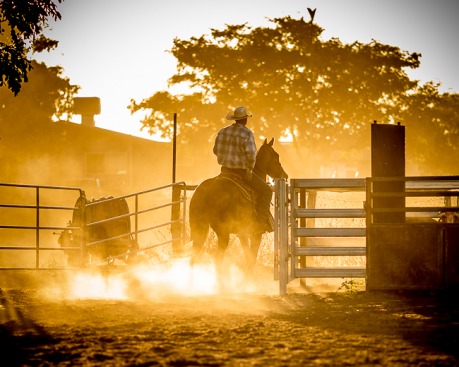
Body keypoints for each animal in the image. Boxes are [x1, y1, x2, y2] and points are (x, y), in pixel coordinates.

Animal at [189, 138, 286, 276]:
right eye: (276, 156)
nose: (285, 175)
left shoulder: (243, 233)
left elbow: (248, 256)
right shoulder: (256, 233)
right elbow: (252, 259)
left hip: (200, 228)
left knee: (194, 256)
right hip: (222, 232)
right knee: (218, 258)